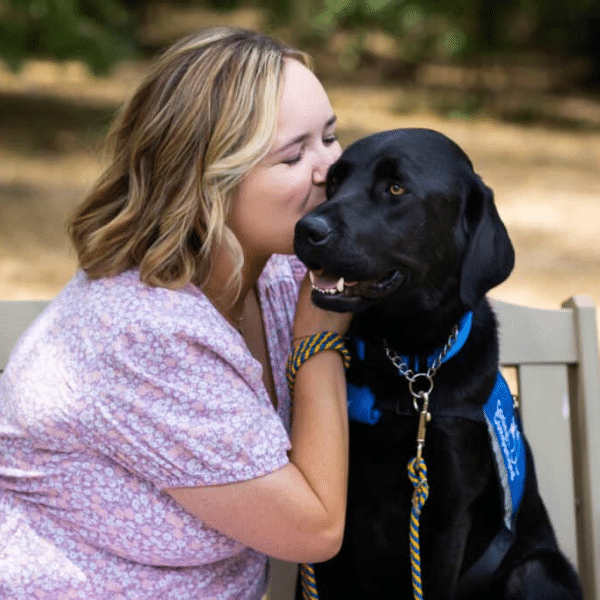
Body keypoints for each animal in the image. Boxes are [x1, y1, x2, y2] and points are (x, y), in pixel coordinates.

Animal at [292, 130, 584, 600]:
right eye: (333, 182)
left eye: (396, 188)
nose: (305, 229)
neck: (410, 365)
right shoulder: (334, 517)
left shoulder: (447, 512)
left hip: (534, 570)